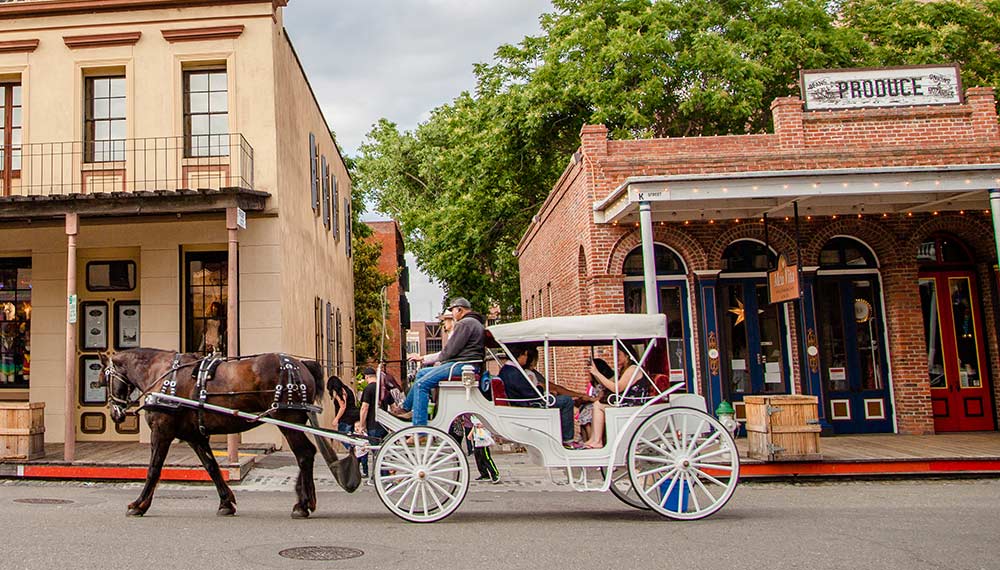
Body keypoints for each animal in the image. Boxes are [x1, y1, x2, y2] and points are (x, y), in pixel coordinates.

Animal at [101, 348, 350, 516]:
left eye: (104, 378)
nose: (115, 413)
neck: (162, 375)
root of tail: (301, 365)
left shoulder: (162, 430)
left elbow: (153, 469)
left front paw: (139, 504)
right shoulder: (195, 436)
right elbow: (212, 467)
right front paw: (226, 502)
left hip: (286, 420)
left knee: (305, 454)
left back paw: (302, 504)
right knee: (306, 454)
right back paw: (305, 501)